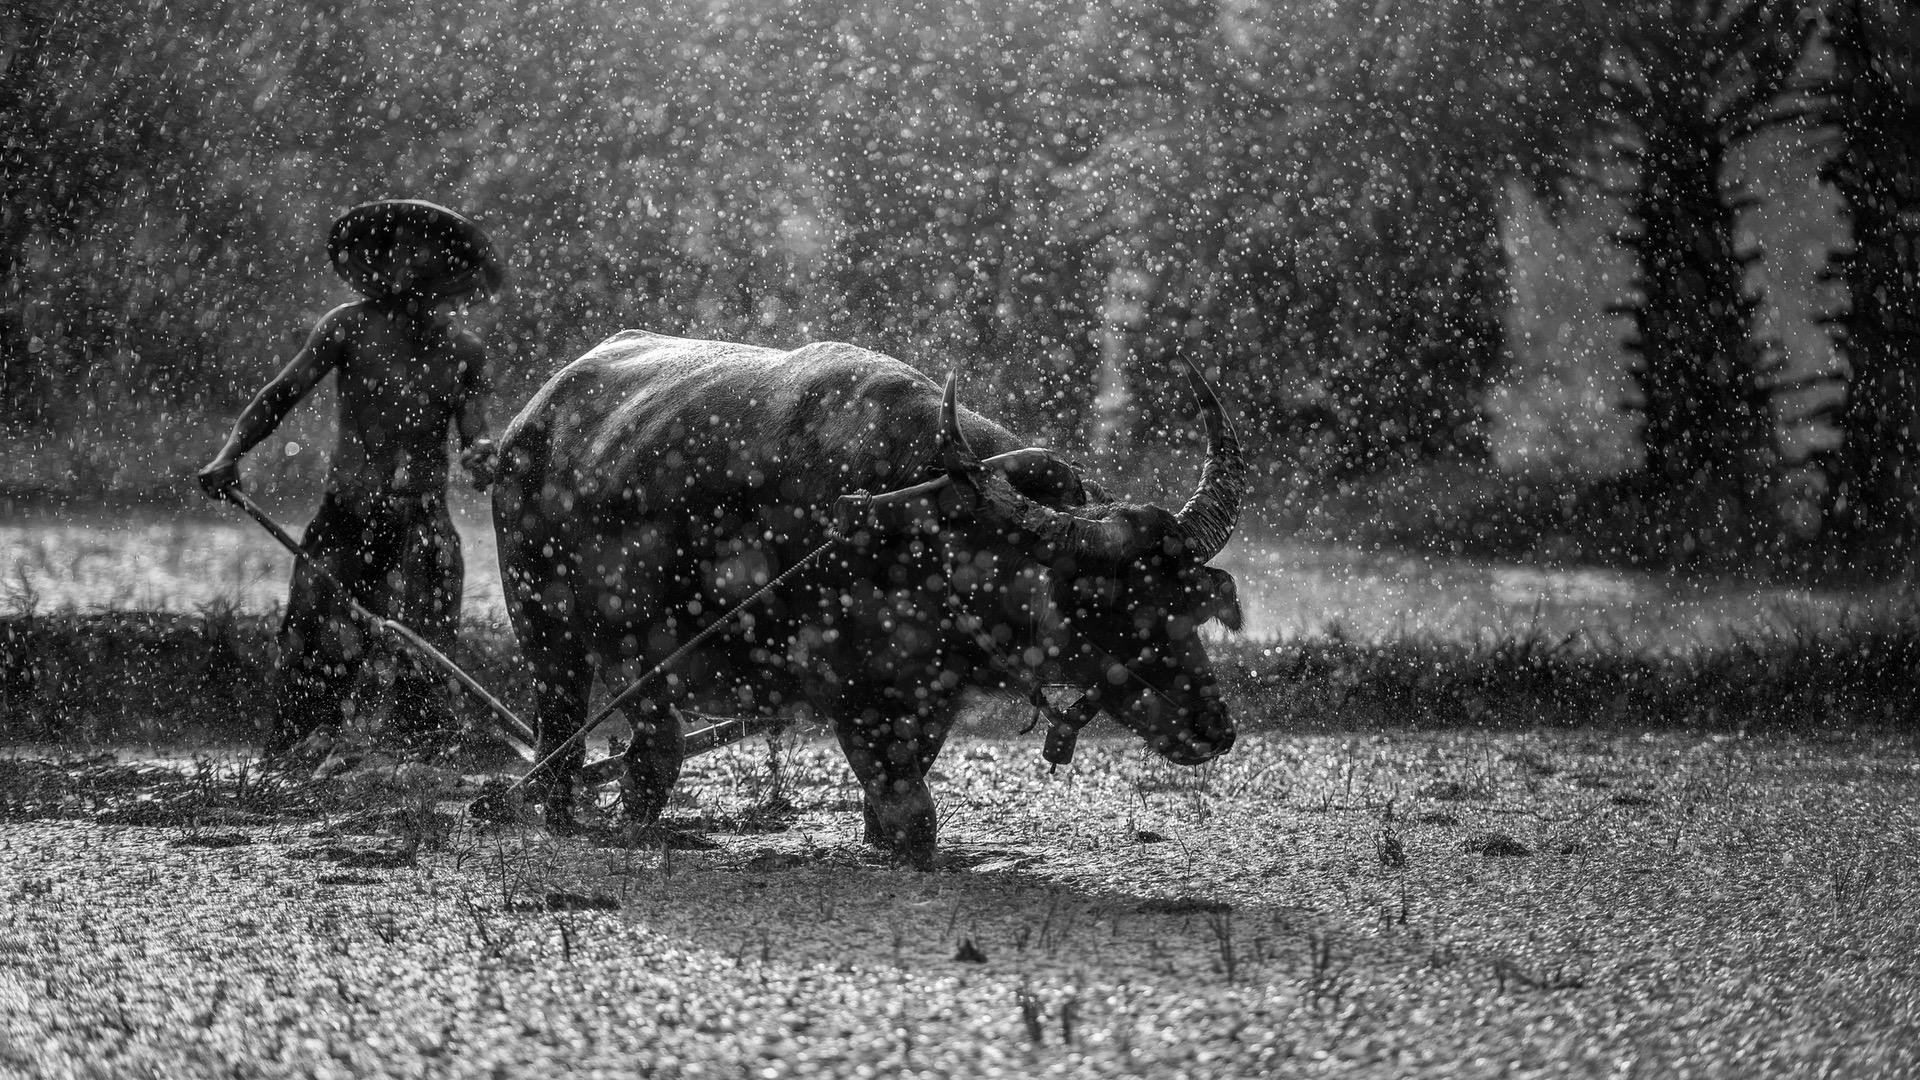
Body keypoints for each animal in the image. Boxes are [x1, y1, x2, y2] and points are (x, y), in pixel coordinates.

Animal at [492, 329, 1246, 867]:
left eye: (1186, 603)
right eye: (1108, 604)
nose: (1213, 727)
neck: (929, 529)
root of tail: (527, 421)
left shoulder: (932, 697)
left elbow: (902, 790)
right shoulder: (848, 692)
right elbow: (914, 817)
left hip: (643, 648)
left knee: (657, 739)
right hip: (544, 628)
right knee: (561, 731)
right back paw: (561, 820)